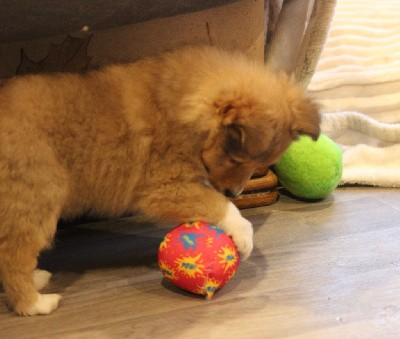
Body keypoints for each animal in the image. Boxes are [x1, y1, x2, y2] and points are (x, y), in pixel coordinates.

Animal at [0, 45, 318, 316]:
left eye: (257, 165)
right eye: (236, 159)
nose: (234, 192)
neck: (184, 106)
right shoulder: (164, 187)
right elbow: (216, 204)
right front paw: (243, 235)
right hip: (37, 195)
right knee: (13, 255)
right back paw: (35, 302)